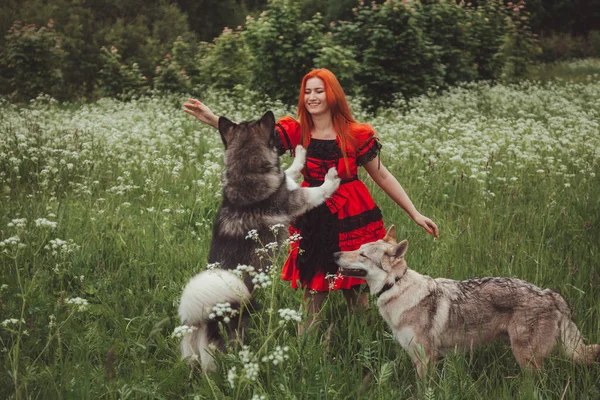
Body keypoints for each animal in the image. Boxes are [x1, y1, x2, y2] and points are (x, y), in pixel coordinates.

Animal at [177, 110, 342, 372]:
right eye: (274, 133)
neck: (245, 171)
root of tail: (200, 320)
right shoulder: (296, 200)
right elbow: (316, 191)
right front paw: (331, 178)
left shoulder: (286, 182)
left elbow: (290, 171)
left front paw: (300, 154)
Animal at [336, 227, 596, 380]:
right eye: (358, 248)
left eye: (362, 255)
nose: (335, 254)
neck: (397, 287)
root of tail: (551, 295)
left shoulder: (425, 360)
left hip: (526, 359)